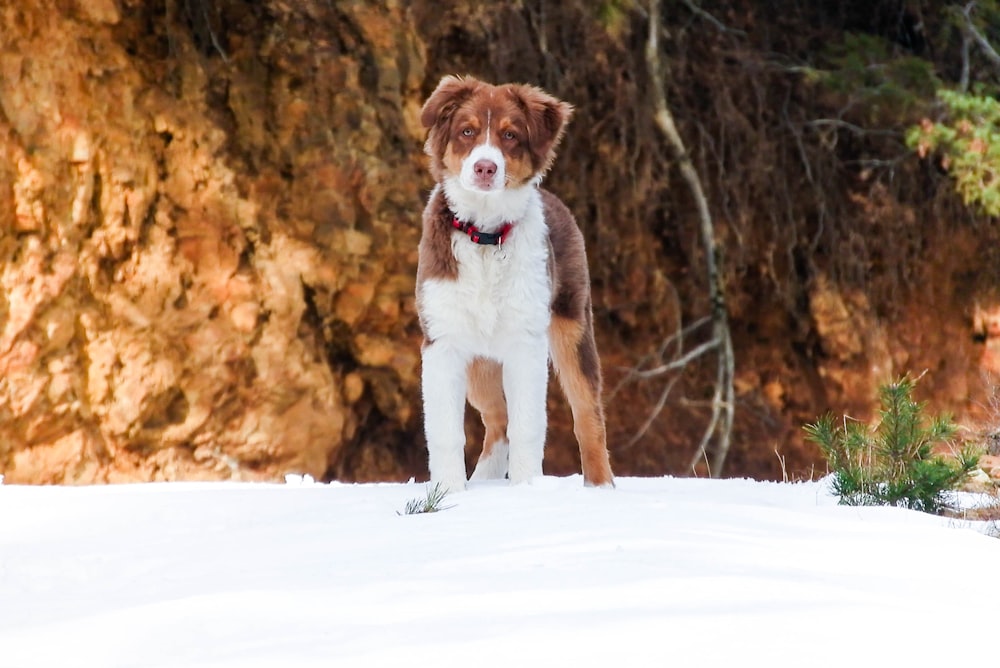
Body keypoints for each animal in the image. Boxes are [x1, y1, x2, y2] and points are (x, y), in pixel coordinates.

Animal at [412, 75, 612, 494]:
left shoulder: (526, 340)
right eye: (466, 131)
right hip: (479, 360)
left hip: (572, 324)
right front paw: (448, 492)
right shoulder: (443, 341)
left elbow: (529, 425)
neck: (486, 236)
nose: (485, 168)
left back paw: (601, 489)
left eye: (510, 135)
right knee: (497, 419)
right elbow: (445, 431)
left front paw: (526, 490)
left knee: (588, 413)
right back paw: (483, 481)